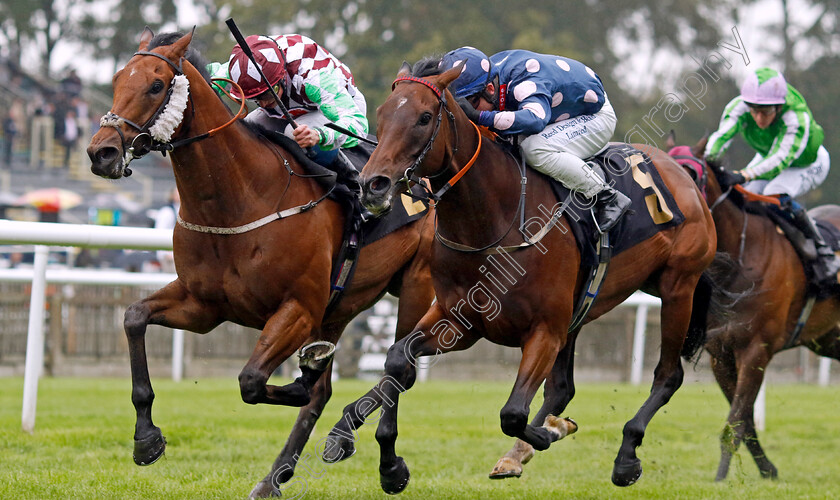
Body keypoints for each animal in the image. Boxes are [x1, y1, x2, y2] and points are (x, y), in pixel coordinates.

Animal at [87, 29, 434, 498]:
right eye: (117, 79)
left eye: (156, 85)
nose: (101, 153)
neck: (240, 199)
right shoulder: (203, 306)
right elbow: (133, 317)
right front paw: (146, 439)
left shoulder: (297, 309)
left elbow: (252, 381)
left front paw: (301, 381)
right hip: (340, 305)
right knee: (332, 389)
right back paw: (275, 476)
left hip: (417, 283)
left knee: (402, 366)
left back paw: (386, 463)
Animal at [324, 59, 720, 492]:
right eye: (381, 114)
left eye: (424, 117)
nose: (372, 185)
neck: (493, 223)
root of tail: (682, 174)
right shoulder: (461, 322)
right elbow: (398, 361)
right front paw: (385, 462)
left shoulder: (544, 330)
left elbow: (512, 412)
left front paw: (551, 432)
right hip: (582, 311)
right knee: (563, 387)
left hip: (677, 287)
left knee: (668, 375)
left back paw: (624, 456)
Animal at [668, 133, 840, 480]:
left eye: (691, 174)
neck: (739, 260)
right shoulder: (720, 353)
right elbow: (744, 421)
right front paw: (768, 470)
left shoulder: (756, 350)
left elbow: (734, 421)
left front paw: (720, 479)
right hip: (829, 338)